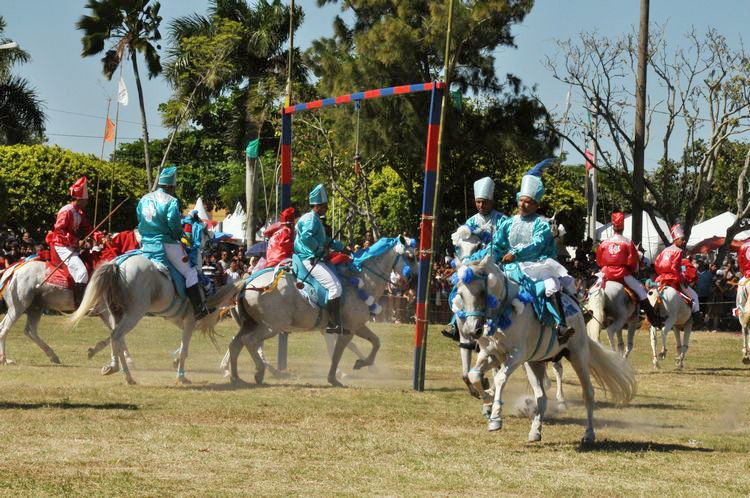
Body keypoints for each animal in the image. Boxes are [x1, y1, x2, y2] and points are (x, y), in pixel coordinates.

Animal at [69, 255, 242, 384]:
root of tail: (118, 265)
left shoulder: (182, 321)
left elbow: (182, 346)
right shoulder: (190, 321)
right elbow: (184, 349)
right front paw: (181, 376)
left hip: (117, 313)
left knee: (115, 336)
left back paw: (115, 367)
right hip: (134, 314)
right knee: (117, 336)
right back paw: (127, 375)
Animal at [456, 256, 636, 444]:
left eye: (481, 292)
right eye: (460, 294)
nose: (471, 330)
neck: (505, 310)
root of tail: (577, 310)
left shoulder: (516, 356)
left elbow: (499, 379)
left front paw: (495, 418)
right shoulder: (492, 354)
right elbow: (474, 375)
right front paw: (488, 398)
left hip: (577, 355)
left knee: (588, 393)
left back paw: (589, 434)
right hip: (534, 362)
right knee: (541, 397)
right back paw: (535, 431)